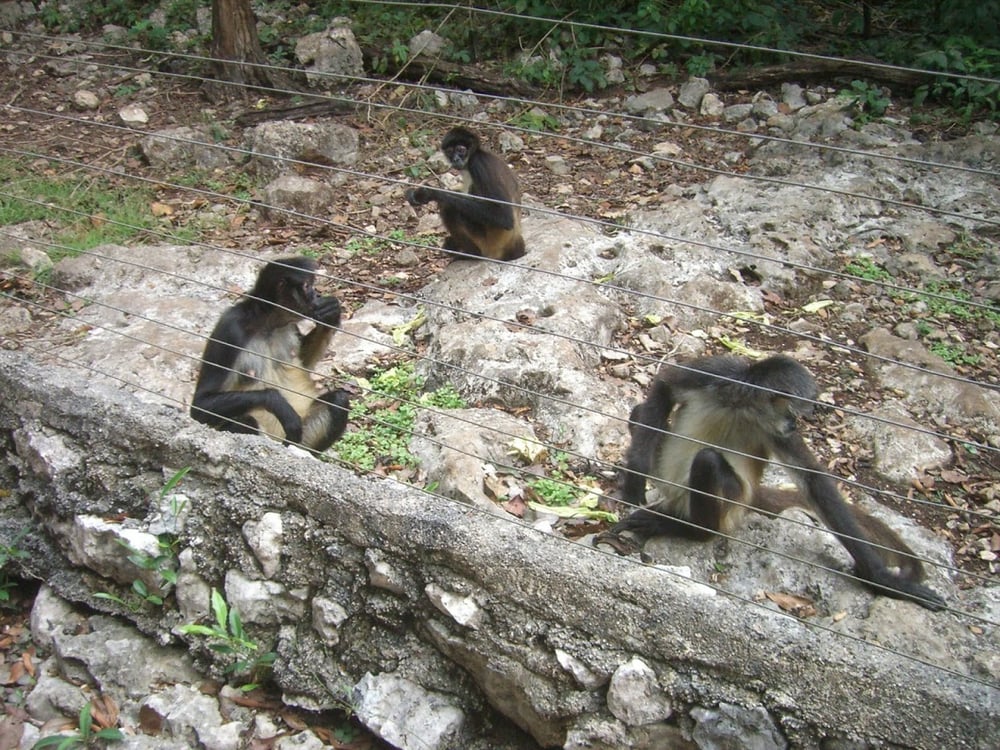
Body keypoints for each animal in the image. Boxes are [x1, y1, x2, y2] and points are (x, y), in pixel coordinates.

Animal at [190, 257, 350, 453]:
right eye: (307, 286)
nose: (316, 295)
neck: (268, 324)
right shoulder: (231, 328)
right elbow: (199, 407)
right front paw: (277, 403)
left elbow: (304, 364)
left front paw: (331, 314)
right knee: (245, 421)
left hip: (299, 440)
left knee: (339, 400)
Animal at [405, 126, 526, 261]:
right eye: (450, 151)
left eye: (461, 150)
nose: (456, 159)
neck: (475, 156)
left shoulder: (478, 164)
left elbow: (504, 218)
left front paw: (431, 192)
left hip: (487, 243)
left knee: (449, 207)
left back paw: (471, 254)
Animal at [597, 354, 945, 611]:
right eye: (795, 408)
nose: (800, 421)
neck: (743, 406)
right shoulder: (721, 374)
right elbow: (665, 386)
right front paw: (634, 483)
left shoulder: (776, 430)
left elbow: (813, 479)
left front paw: (885, 581)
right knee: (642, 412)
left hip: (730, 505)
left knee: (708, 462)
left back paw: (691, 531)